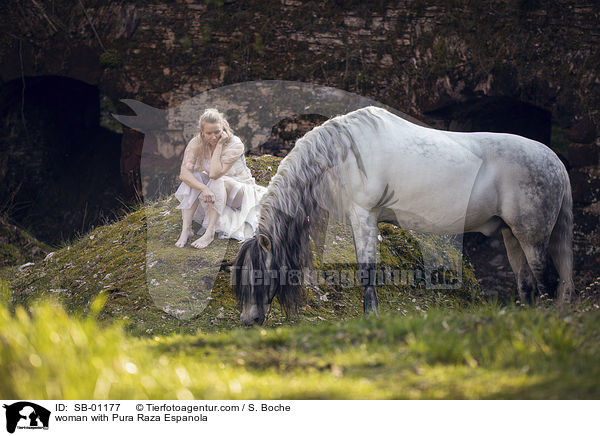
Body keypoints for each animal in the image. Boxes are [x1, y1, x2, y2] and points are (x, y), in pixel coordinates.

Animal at [232, 104, 576, 324]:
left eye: (257, 274)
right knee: (527, 284)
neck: (342, 154)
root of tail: (555, 161)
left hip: (532, 237)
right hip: (510, 235)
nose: (248, 321)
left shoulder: (365, 215)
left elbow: (367, 270)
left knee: (546, 281)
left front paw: (371, 317)